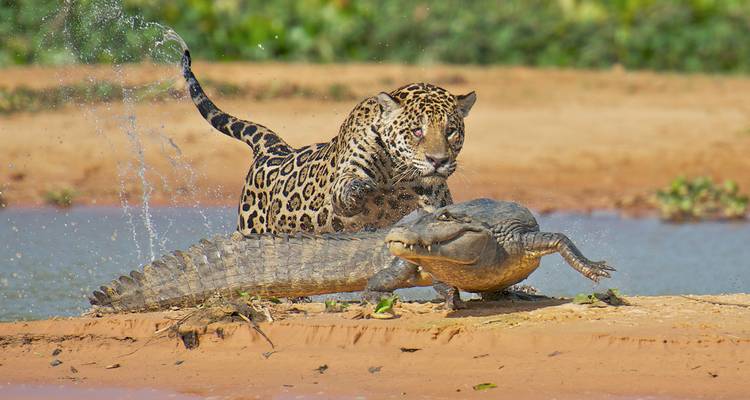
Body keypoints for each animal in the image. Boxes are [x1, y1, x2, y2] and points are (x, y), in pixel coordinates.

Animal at [180, 49, 476, 236]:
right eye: (416, 131)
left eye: (451, 131)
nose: (438, 161)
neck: (398, 175)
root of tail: (274, 150)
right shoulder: (348, 177)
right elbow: (351, 188)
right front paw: (362, 191)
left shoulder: (433, 197)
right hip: (249, 225)